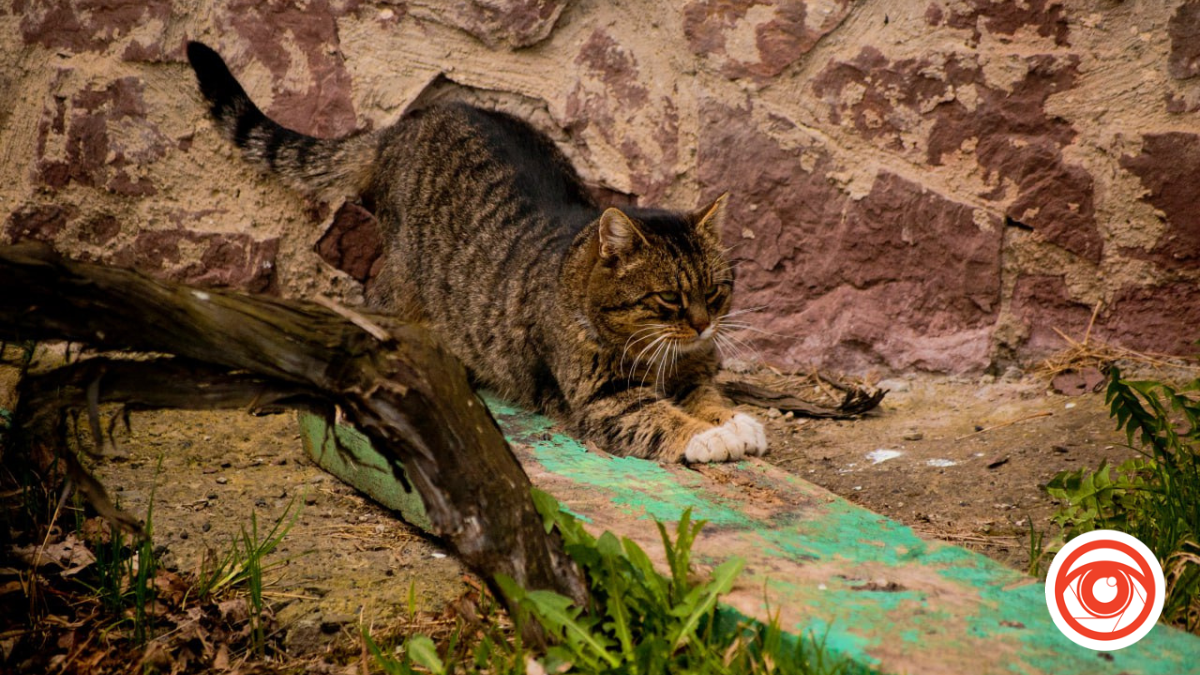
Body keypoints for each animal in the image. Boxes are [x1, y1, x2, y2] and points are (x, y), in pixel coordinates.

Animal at [187, 42, 768, 458]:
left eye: (716, 293)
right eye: (668, 300)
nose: (703, 326)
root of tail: (401, 129)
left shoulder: (694, 371)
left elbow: (708, 396)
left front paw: (734, 422)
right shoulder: (604, 399)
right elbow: (659, 415)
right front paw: (706, 436)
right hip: (401, 281)